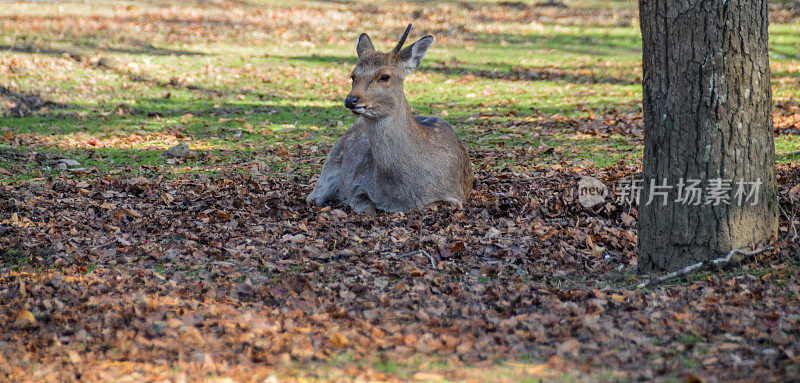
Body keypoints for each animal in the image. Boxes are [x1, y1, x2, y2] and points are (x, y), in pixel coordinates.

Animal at [304, 24, 468, 216]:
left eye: (384, 76)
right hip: (329, 165)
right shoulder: (357, 184)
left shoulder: (455, 196)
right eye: (353, 76)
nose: (351, 100)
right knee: (313, 197)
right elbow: (366, 208)